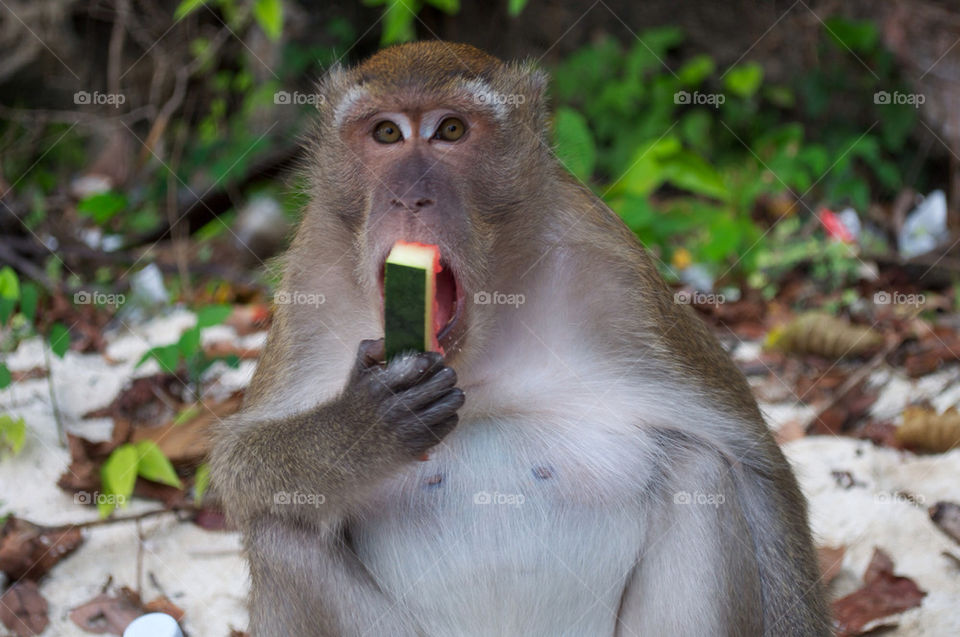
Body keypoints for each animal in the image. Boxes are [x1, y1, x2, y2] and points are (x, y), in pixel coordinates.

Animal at [211, 41, 831, 636]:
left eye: (450, 130)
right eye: (386, 133)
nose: (409, 197)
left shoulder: (619, 281)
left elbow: (757, 468)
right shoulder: (310, 282)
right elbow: (240, 469)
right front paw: (362, 425)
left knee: (702, 470)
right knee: (281, 532)